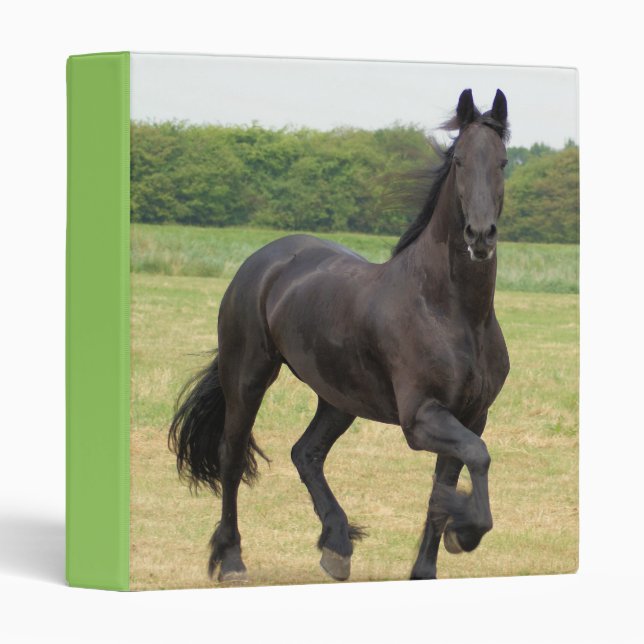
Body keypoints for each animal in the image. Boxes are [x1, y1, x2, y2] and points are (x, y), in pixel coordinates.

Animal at [169, 88, 511, 583]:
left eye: (503, 161)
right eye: (460, 160)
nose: (480, 235)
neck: (454, 312)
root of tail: (263, 260)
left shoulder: (472, 415)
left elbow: (445, 483)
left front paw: (427, 565)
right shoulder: (421, 417)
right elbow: (478, 457)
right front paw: (463, 533)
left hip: (337, 397)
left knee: (306, 453)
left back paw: (337, 545)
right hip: (248, 377)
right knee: (232, 457)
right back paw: (232, 559)